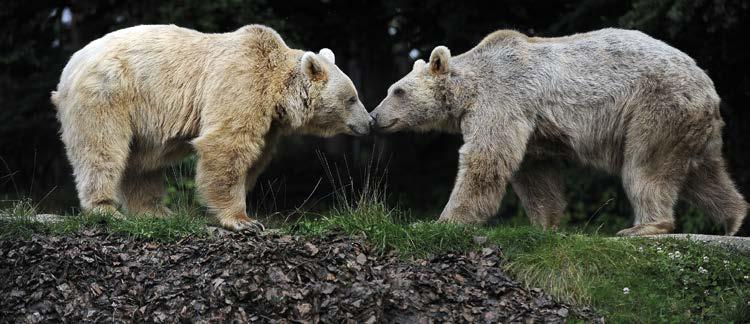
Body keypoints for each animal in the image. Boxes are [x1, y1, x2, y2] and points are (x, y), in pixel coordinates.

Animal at [50, 24, 374, 229]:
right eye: (352, 98)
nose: (369, 121)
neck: (276, 90)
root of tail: (70, 65)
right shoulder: (241, 83)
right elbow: (226, 145)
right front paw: (243, 221)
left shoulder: (269, 123)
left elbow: (254, 158)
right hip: (108, 93)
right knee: (102, 148)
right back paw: (104, 207)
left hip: (142, 117)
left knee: (142, 164)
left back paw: (156, 211)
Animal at [370, 27, 748, 235]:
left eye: (397, 91)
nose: (374, 116)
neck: (470, 89)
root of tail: (708, 85)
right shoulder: (531, 128)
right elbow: (534, 173)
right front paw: (545, 223)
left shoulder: (503, 99)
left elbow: (485, 159)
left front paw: (443, 220)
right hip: (692, 125)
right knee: (704, 174)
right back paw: (736, 219)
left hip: (655, 106)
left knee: (646, 167)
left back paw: (643, 226)